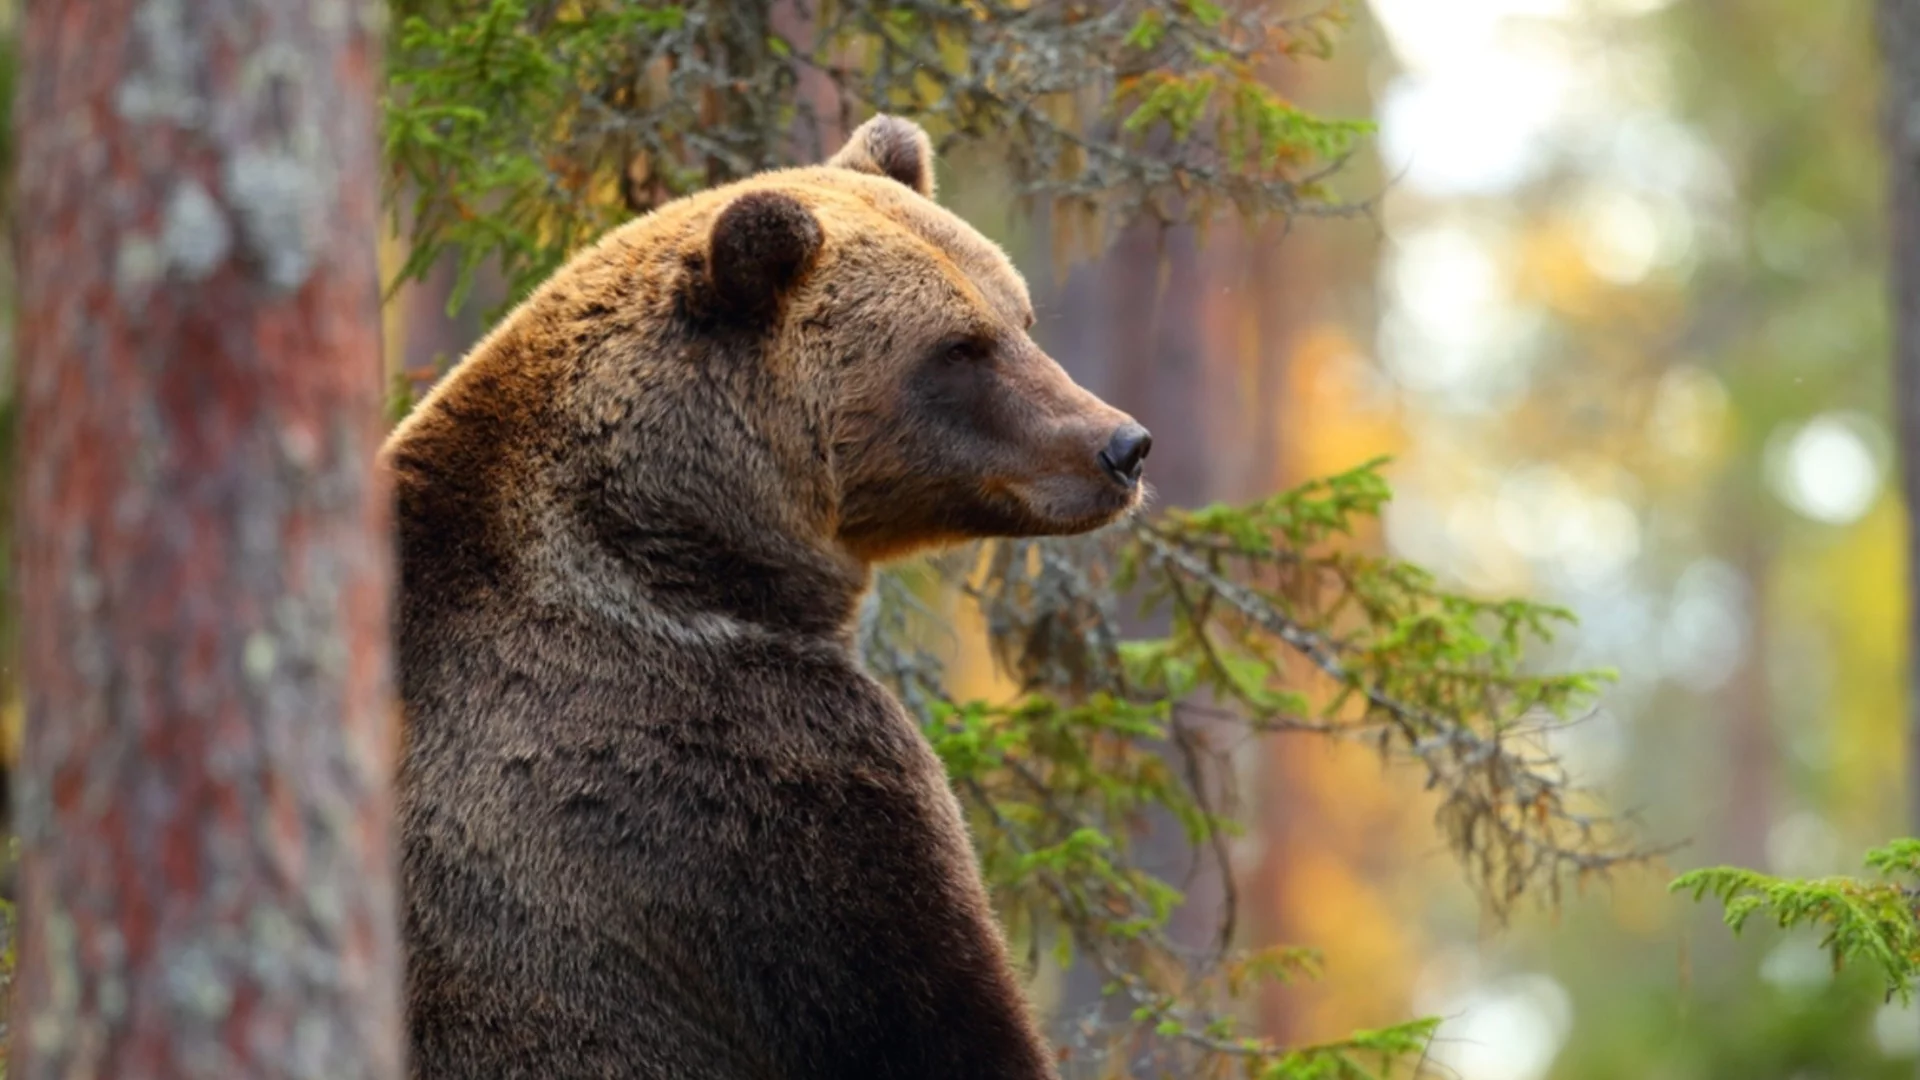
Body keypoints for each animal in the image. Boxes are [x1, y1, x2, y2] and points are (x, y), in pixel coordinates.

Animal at [382, 115, 1144, 1076]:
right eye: (958, 347)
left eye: (1021, 316)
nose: (1122, 445)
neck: (690, 553)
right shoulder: (749, 777)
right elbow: (926, 1007)